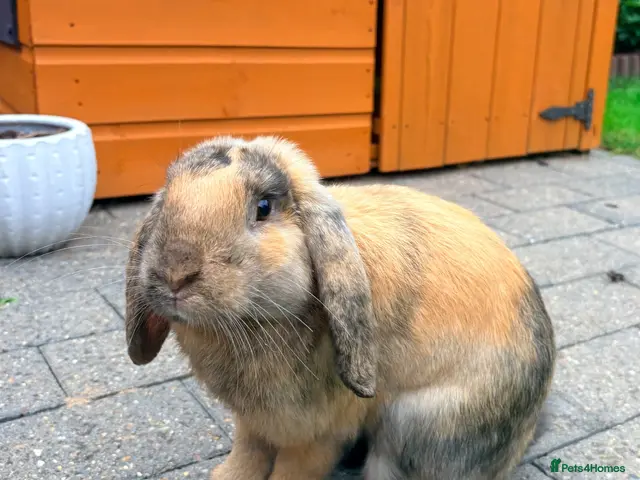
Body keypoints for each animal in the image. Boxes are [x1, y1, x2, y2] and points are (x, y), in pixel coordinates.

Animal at [124, 135, 556, 480]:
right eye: (167, 194)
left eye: (263, 207)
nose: (175, 273)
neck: (251, 324)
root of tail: (525, 434)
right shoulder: (253, 422)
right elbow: (247, 453)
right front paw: (227, 476)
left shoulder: (316, 431)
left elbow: (291, 470)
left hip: (415, 425)